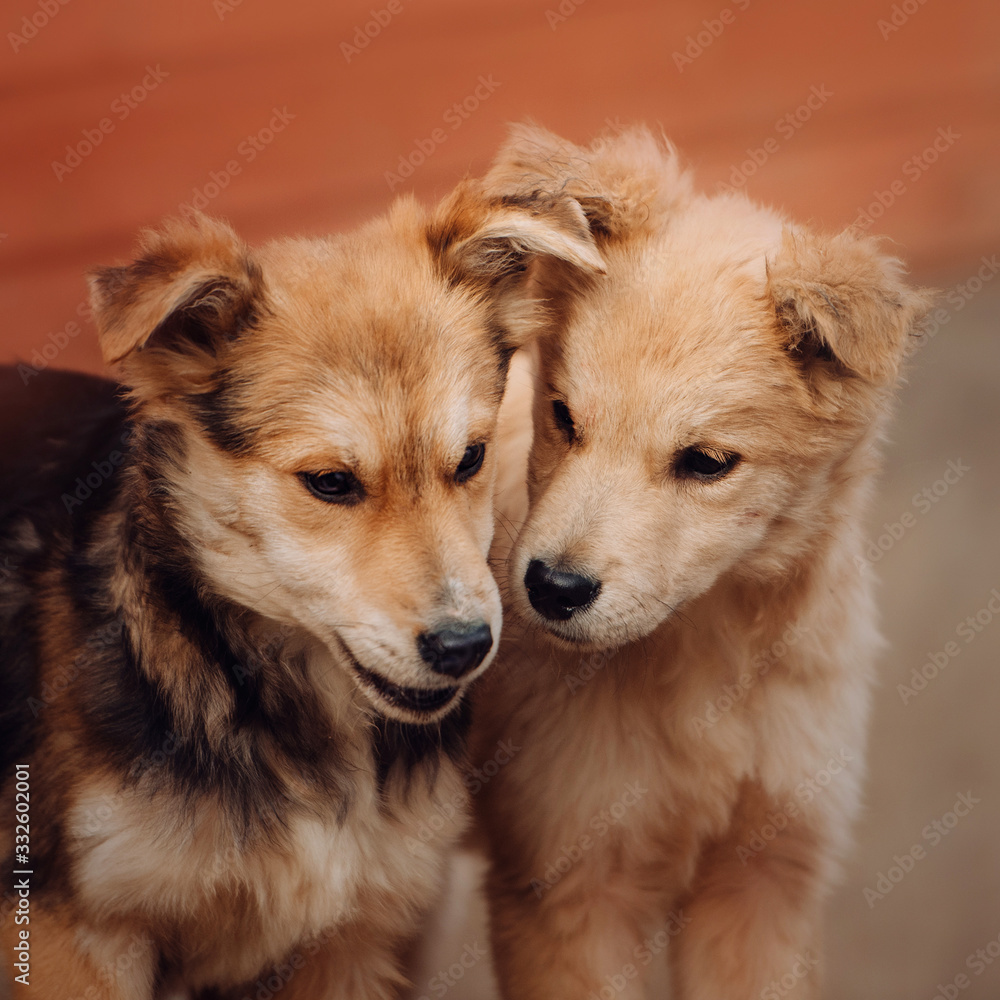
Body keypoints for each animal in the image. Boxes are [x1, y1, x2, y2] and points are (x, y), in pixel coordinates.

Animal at [472, 127, 932, 1000]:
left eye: (707, 463)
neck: (706, 666)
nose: (552, 588)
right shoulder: (567, 889)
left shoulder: (765, 880)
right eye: (562, 416)